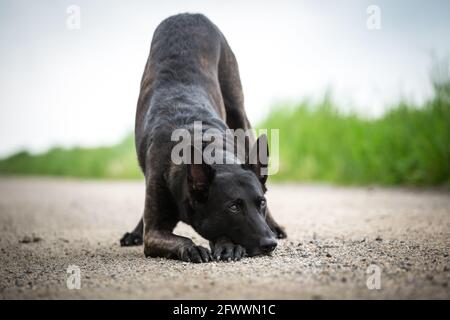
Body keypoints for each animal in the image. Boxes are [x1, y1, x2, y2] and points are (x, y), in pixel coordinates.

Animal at [120, 13, 284, 262]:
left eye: (261, 203)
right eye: (234, 207)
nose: (270, 244)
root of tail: (188, 14)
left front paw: (226, 244)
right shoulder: (154, 232)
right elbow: (174, 236)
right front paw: (193, 247)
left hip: (240, 118)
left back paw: (275, 226)